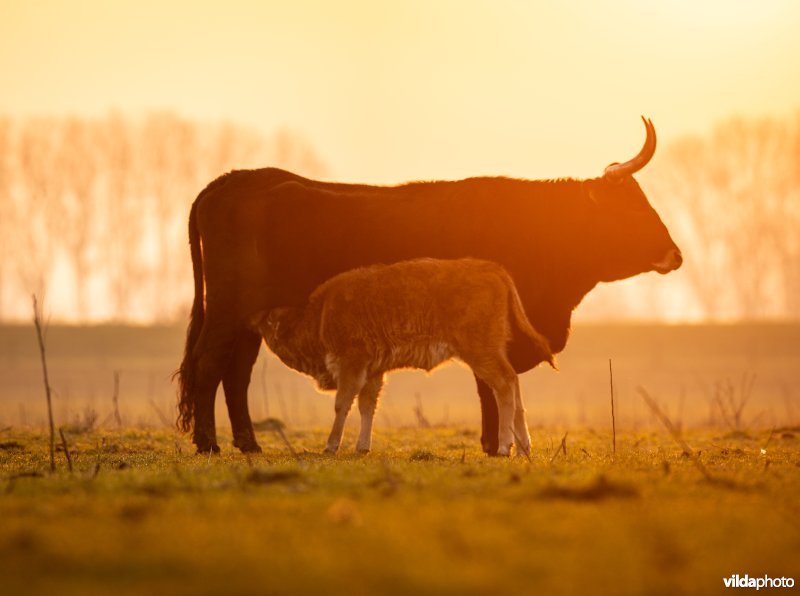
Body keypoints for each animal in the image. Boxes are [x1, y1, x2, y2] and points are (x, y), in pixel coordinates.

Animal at [250, 256, 556, 456]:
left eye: (268, 321)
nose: (251, 319)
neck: (319, 315)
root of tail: (490, 268)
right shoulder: (373, 371)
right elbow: (367, 406)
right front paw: (362, 447)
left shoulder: (352, 364)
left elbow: (342, 403)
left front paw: (331, 445)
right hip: (491, 352)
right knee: (514, 383)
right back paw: (523, 448)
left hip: (481, 353)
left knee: (504, 386)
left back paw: (505, 446)